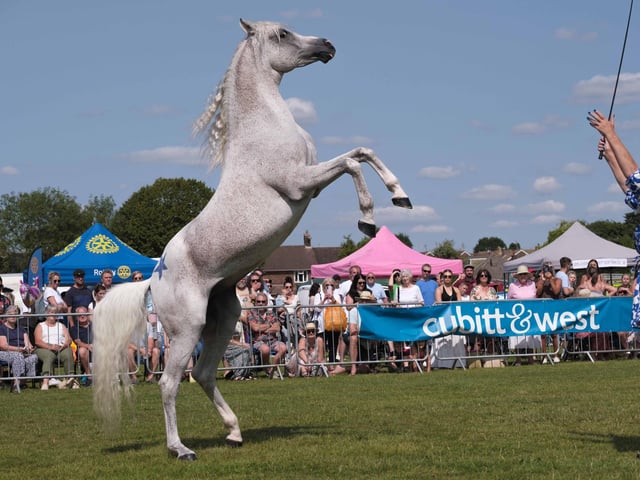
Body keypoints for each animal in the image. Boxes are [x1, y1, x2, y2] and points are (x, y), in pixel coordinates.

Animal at [92, 19, 412, 461]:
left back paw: (234, 432)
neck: (266, 126)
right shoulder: (300, 184)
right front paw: (367, 218)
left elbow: (362, 151)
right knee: (170, 383)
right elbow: (352, 163)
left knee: (204, 373)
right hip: (186, 330)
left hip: (223, 318)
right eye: (282, 34)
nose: (327, 45)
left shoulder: (314, 184)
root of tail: (153, 279)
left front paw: (401, 195)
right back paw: (181, 449)